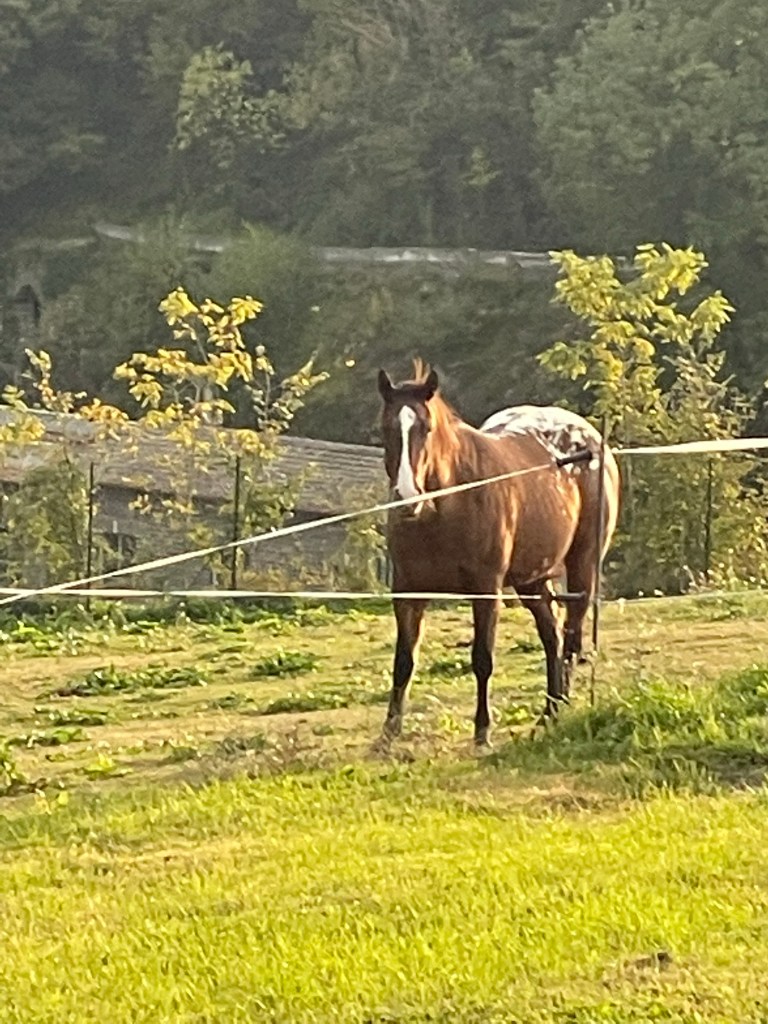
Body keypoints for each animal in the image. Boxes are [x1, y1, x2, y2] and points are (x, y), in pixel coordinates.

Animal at [376, 361, 620, 746]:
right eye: (386, 428)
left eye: (426, 428)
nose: (407, 498)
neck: (448, 505)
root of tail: (592, 441)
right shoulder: (407, 592)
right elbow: (403, 661)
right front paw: (387, 736)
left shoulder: (486, 589)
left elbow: (482, 659)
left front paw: (482, 732)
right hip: (532, 580)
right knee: (552, 636)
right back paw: (548, 713)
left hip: (583, 566)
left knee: (571, 637)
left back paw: (559, 710)